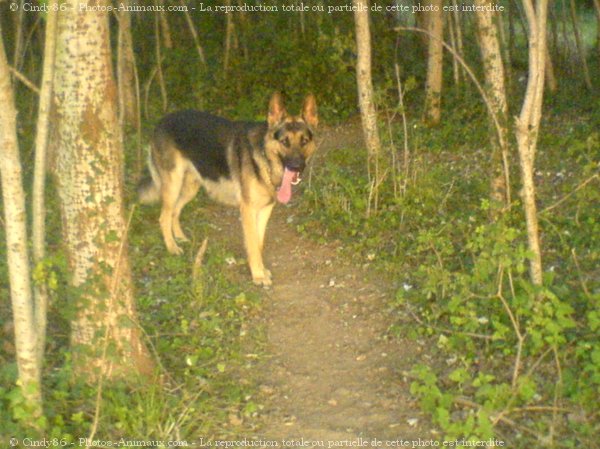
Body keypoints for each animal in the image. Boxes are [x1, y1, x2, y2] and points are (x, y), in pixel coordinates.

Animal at [138, 92, 316, 286]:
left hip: (190, 188)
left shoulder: (265, 210)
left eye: (304, 141)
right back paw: (172, 247)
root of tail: (162, 120)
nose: (297, 167)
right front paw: (257, 275)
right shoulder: (247, 210)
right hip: (173, 185)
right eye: (285, 142)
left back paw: (180, 237)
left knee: (174, 212)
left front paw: (260, 270)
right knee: (164, 216)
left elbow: (259, 242)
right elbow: (252, 244)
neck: (264, 159)